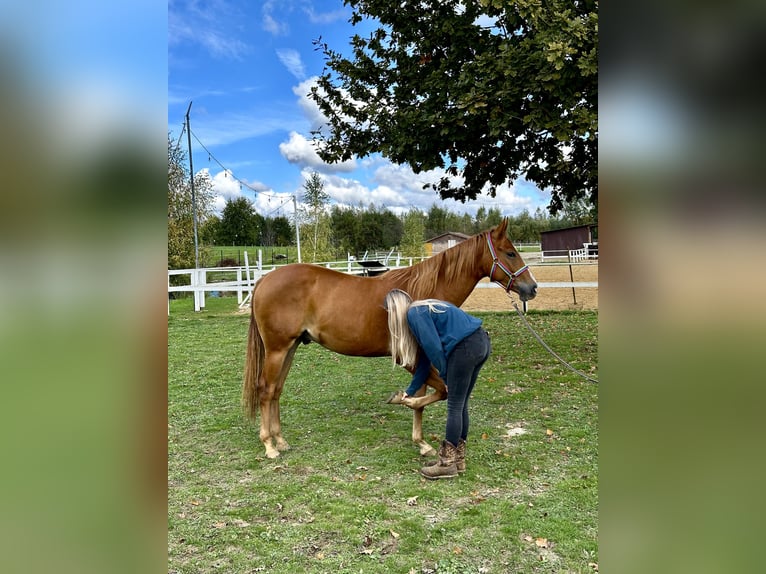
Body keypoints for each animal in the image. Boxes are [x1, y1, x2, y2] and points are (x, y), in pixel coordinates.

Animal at [243, 218, 536, 462]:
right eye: (510, 252)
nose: (531, 287)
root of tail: (265, 279)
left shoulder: (421, 360)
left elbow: (424, 397)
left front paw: (421, 441)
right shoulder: (412, 359)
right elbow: (439, 392)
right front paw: (406, 408)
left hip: (290, 348)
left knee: (277, 390)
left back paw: (280, 440)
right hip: (277, 350)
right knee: (265, 390)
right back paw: (269, 445)